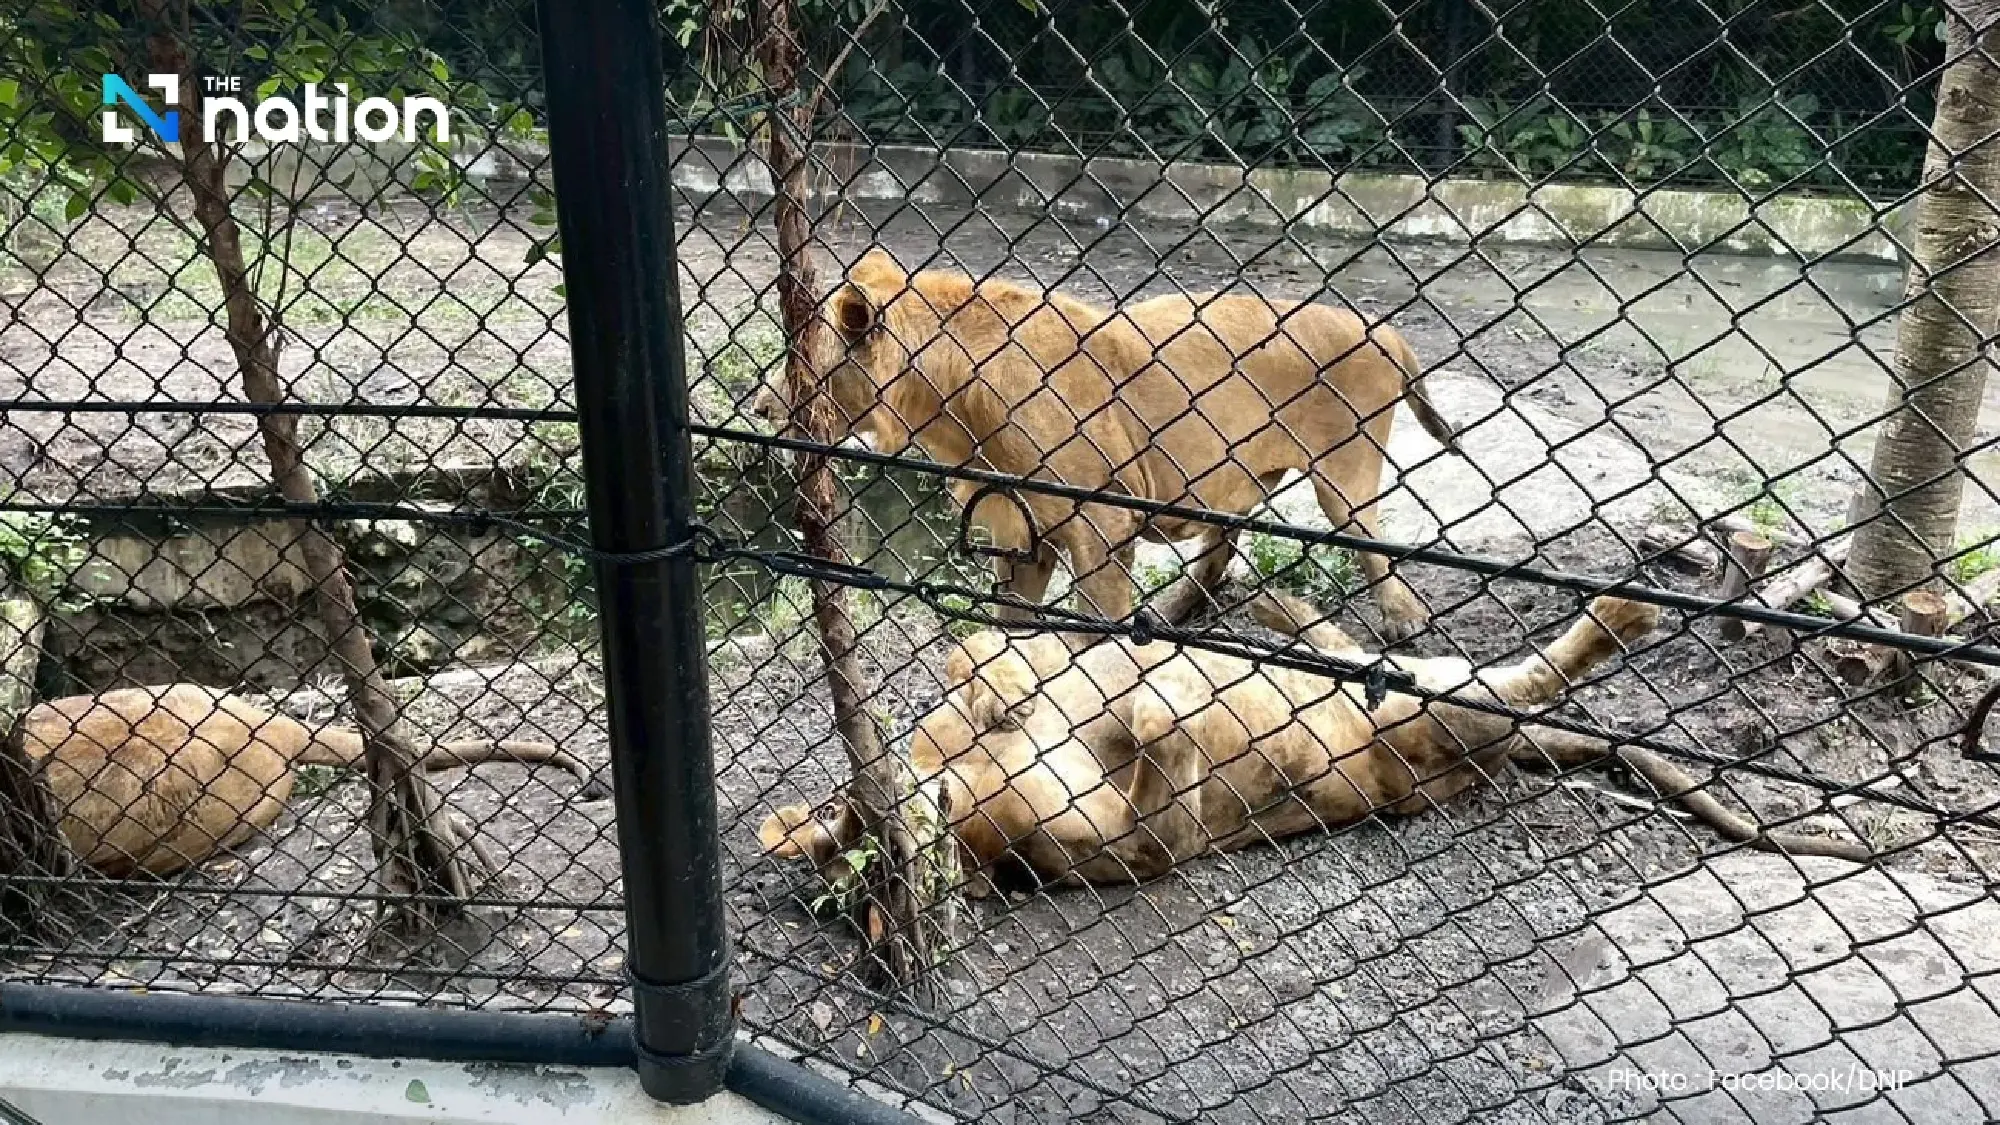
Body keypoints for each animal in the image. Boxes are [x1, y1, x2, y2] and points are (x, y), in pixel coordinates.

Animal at [753, 249, 1463, 641]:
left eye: (799, 365)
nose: (757, 407)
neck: (946, 408)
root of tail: (1379, 326)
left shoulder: (1103, 526)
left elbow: (1095, 633)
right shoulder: (1021, 530)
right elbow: (1012, 629)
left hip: (1344, 475)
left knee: (1371, 545)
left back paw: (1403, 618)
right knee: (1223, 541)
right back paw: (1177, 608)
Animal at [759, 592, 1870, 888]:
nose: (918, 818)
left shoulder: (1037, 672)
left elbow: (988, 650)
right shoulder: (1137, 843)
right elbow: (1159, 768)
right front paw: (1163, 708)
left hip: (1419, 692)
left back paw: (1279, 605)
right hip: (1449, 719)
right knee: (1530, 683)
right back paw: (1621, 613)